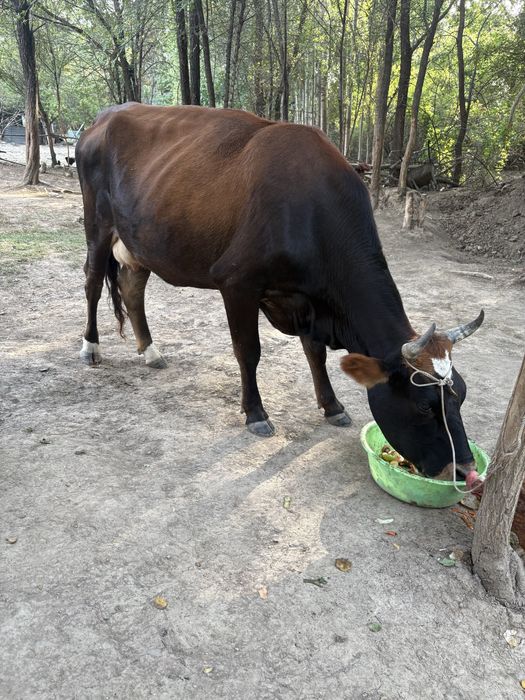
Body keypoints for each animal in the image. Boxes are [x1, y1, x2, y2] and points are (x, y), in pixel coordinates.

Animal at [75, 103, 484, 479]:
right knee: (92, 282)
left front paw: (333, 406)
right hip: (97, 223)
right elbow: (248, 352)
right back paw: (91, 347)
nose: (465, 469)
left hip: (139, 240)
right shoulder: (236, 281)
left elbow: (315, 355)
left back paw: (150, 351)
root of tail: (105, 116)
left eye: (462, 396)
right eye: (425, 405)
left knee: (132, 289)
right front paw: (255, 413)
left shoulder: (306, 301)